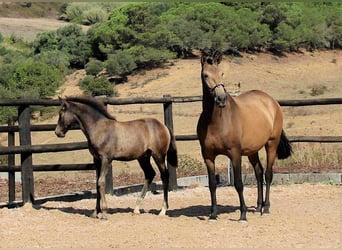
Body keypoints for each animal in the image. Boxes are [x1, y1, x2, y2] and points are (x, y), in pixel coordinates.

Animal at [196, 48, 292, 221]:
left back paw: (266, 208)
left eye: (221, 73)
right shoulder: (208, 155)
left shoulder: (235, 154)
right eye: (205, 75)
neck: (216, 121)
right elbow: (212, 184)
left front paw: (243, 214)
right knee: (259, 172)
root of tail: (272, 101)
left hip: (271, 144)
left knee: (268, 174)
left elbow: (239, 184)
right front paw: (213, 214)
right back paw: (259, 206)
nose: (221, 98)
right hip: (252, 150)